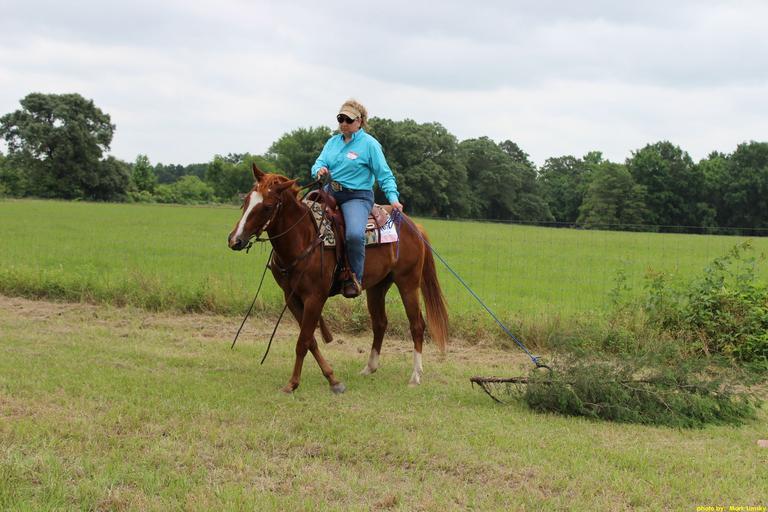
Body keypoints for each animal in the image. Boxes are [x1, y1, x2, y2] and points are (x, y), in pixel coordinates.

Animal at [228, 164, 449, 394]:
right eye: (246, 200)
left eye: (267, 206)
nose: (235, 240)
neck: (303, 238)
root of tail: (413, 225)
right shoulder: (291, 297)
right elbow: (311, 341)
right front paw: (332, 378)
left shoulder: (315, 297)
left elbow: (303, 341)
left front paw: (294, 383)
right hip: (377, 286)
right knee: (380, 323)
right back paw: (369, 367)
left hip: (408, 283)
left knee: (417, 325)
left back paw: (415, 376)